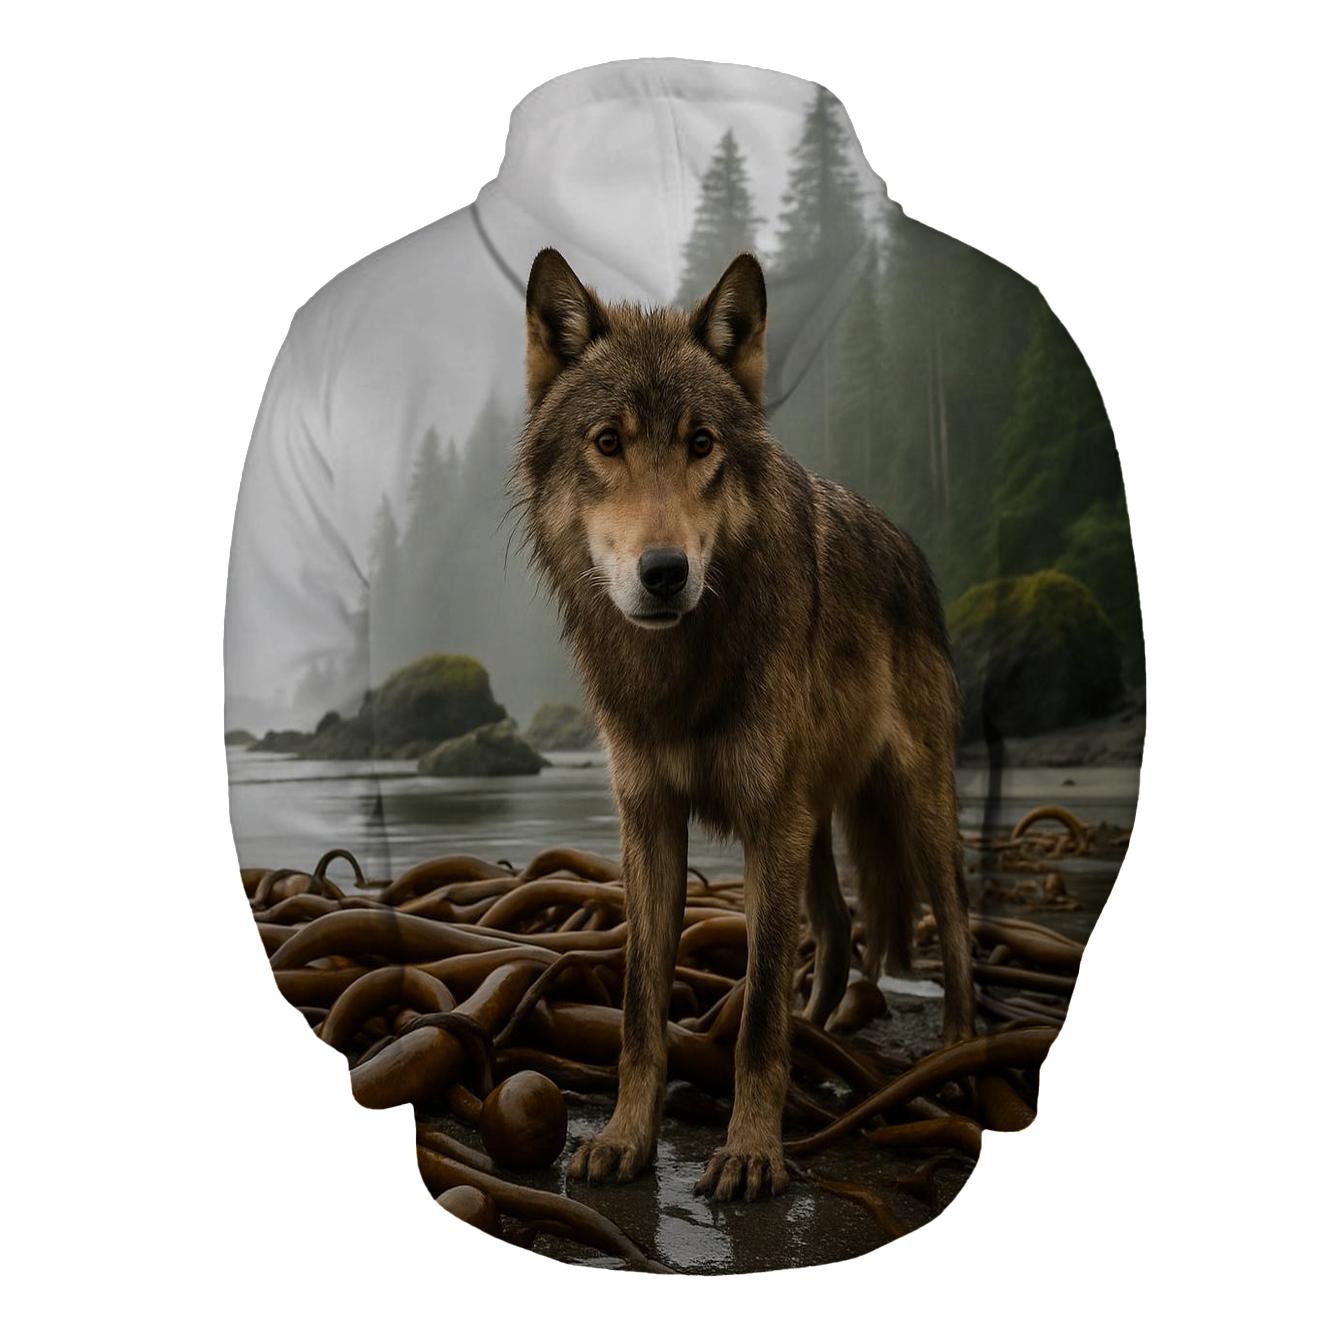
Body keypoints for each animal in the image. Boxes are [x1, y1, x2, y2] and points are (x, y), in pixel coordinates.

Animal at [514, 248, 974, 1202]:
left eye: (701, 443)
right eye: (607, 442)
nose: (663, 572)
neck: (678, 671)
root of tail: (907, 544)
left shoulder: (771, 819)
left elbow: (758, 1012)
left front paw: (753, 1150)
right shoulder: (650, 822)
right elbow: (640, 1009)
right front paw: (625, 1137)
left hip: (909, 804)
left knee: (951, 921)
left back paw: (954, 1051)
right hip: (814, 825)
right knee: (833, 930)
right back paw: (823, 1027)